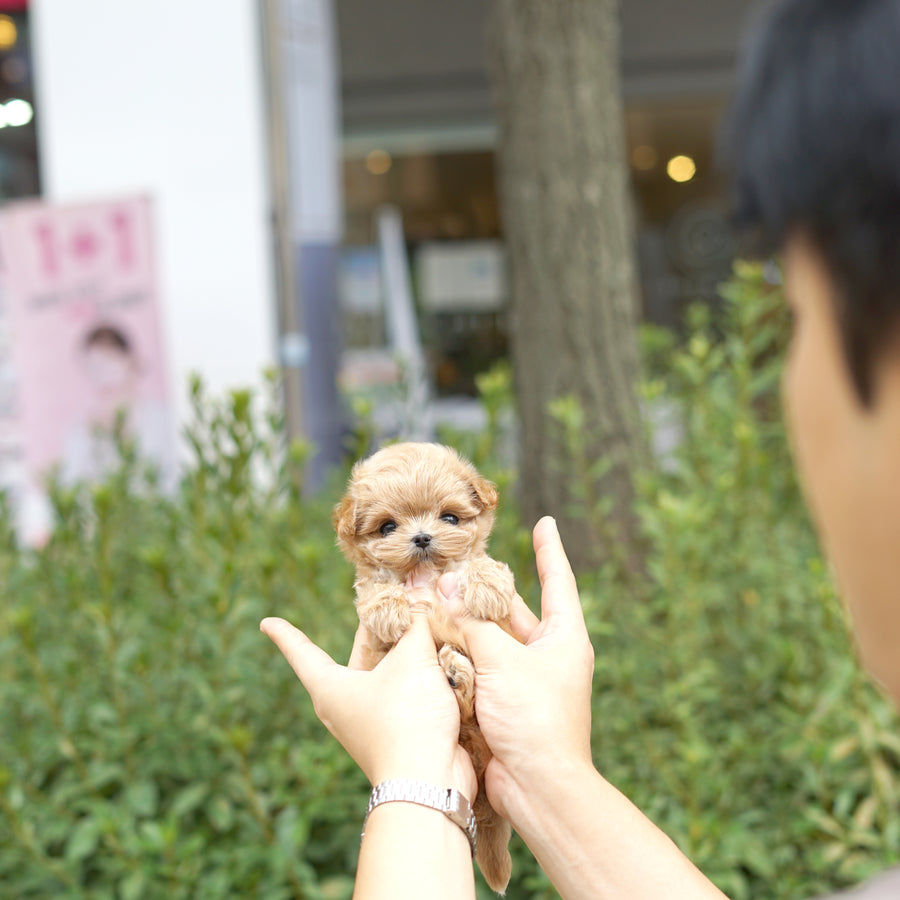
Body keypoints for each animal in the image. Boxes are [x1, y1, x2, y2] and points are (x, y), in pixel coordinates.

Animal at [336, 440, 520, 888]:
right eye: (387, 527)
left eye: (449, 518)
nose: (421, 537)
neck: (426, 574)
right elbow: (376, 587)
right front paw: (389, 608)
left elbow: (478, 563)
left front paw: (488, 586)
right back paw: (454, 676)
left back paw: (457, 675)